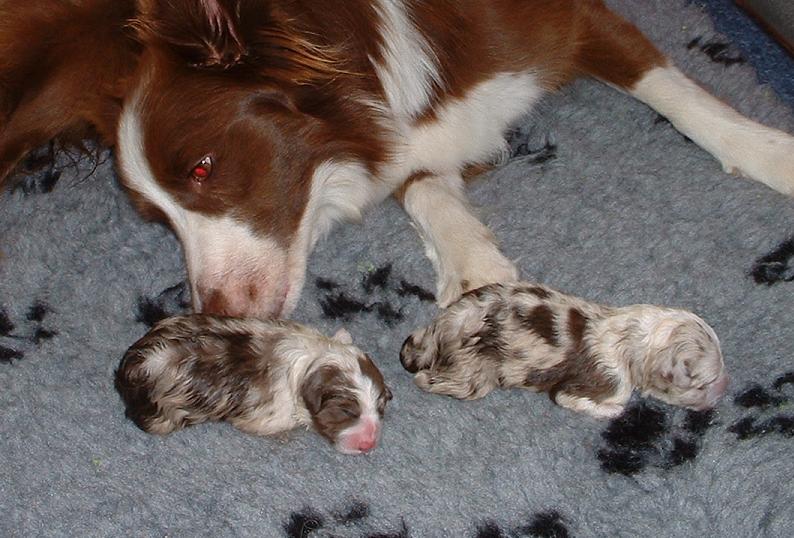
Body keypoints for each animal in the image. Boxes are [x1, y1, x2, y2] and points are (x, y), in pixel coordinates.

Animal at [2, 1, 794, 319]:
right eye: (155, 220)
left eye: (202, 166)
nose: (216, 315)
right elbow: (425, 188)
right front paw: (472, 266)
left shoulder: (569, 18)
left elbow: (675, 89)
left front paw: (770, 152)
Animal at [115, 314, 393, 454]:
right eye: (347, 411)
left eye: (381, 408)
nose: (369, 445)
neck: (312, 360)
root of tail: (127, 368)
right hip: (159, 417)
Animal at [400, 282, 729, 418]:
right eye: (703, 384)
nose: (725, 388)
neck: (634, 338)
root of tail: (446, 325)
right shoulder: (585, 388)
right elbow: (585, 402)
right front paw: (614, 411)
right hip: (474, 374)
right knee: (430, 380)